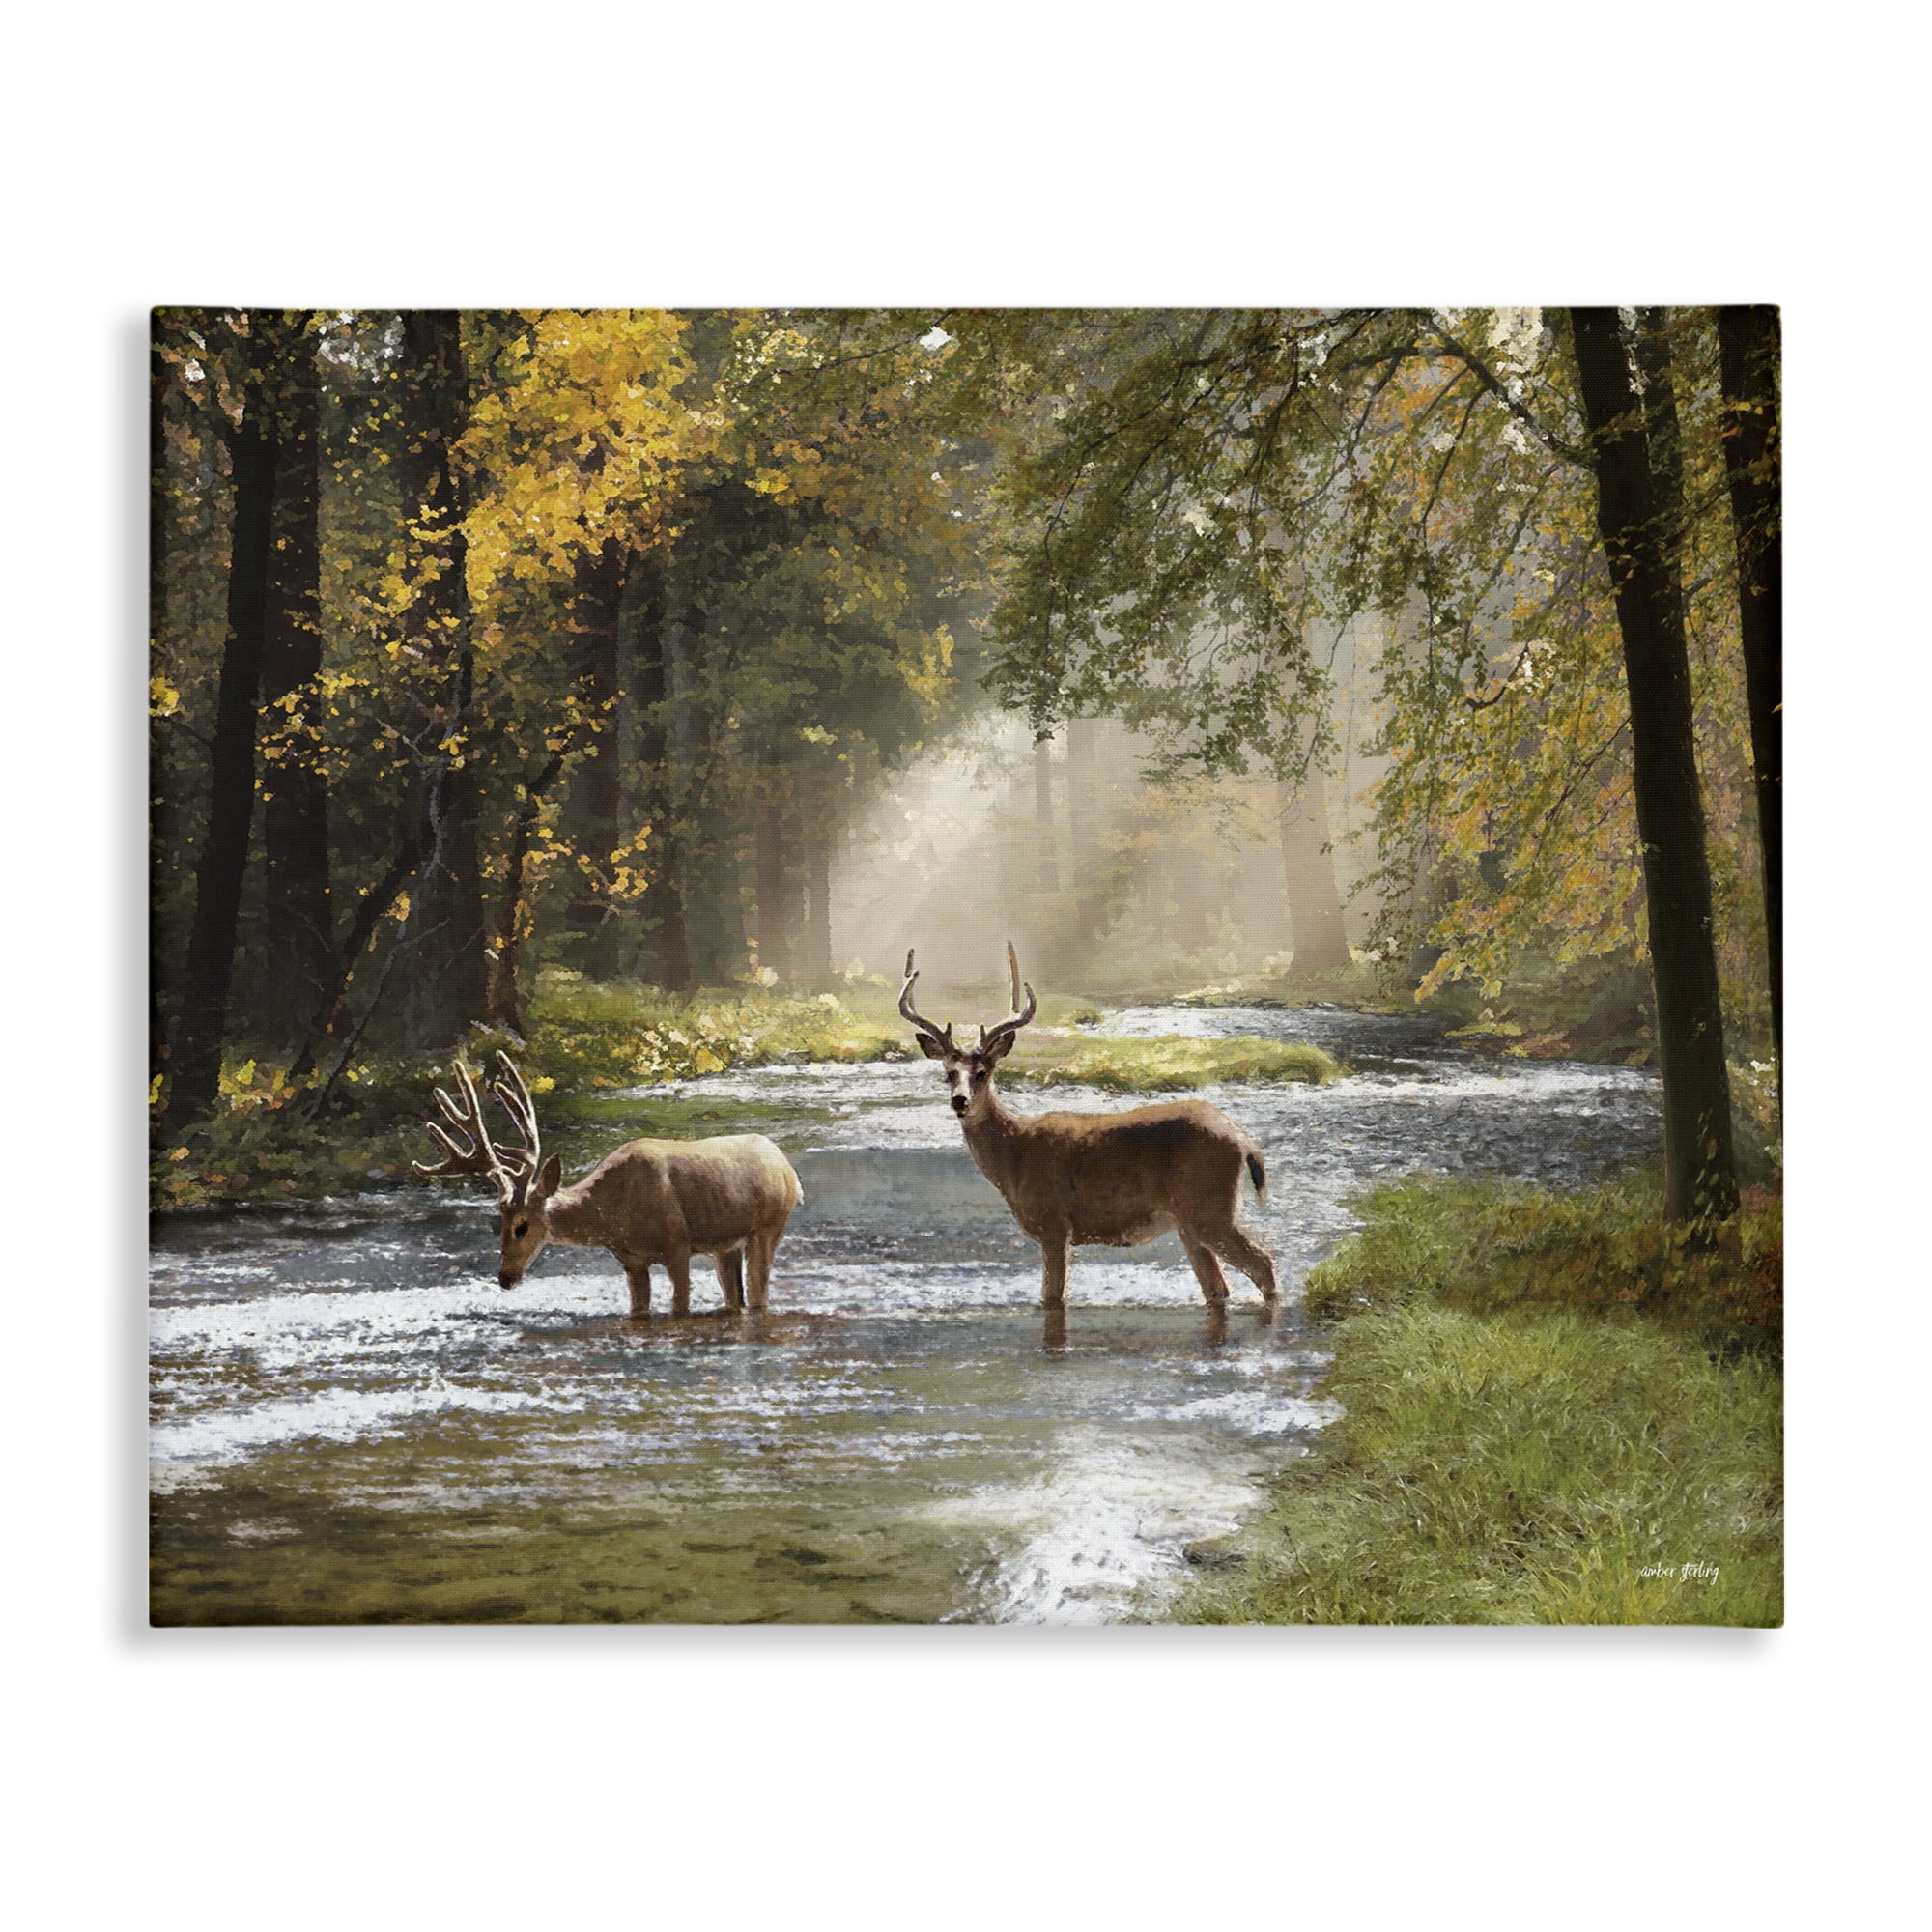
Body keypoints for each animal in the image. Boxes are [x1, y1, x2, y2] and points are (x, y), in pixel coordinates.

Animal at [413, 1054, 803, 1317]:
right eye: (499, 1223)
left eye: (522, 1226)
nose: (505, 1277)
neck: (614, 1214)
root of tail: (788, 1170)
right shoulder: (630, 1260)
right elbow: (639, 1309)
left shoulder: (677, 1245)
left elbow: (680, 1306)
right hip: (725, 1245)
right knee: (735, 1298)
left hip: (768, 1227)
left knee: (758, 1294)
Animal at [899, 944, 1278, 1312]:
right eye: (949, 1072)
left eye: (982, 1073)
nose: (960, 1101)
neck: (1014, 1154)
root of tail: (1244, 1140)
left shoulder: (1054, 1224)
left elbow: (1052, 1297)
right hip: (1189, 1222)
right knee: (1218, 1288)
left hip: (1210, 1209)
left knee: (1264, 1264)